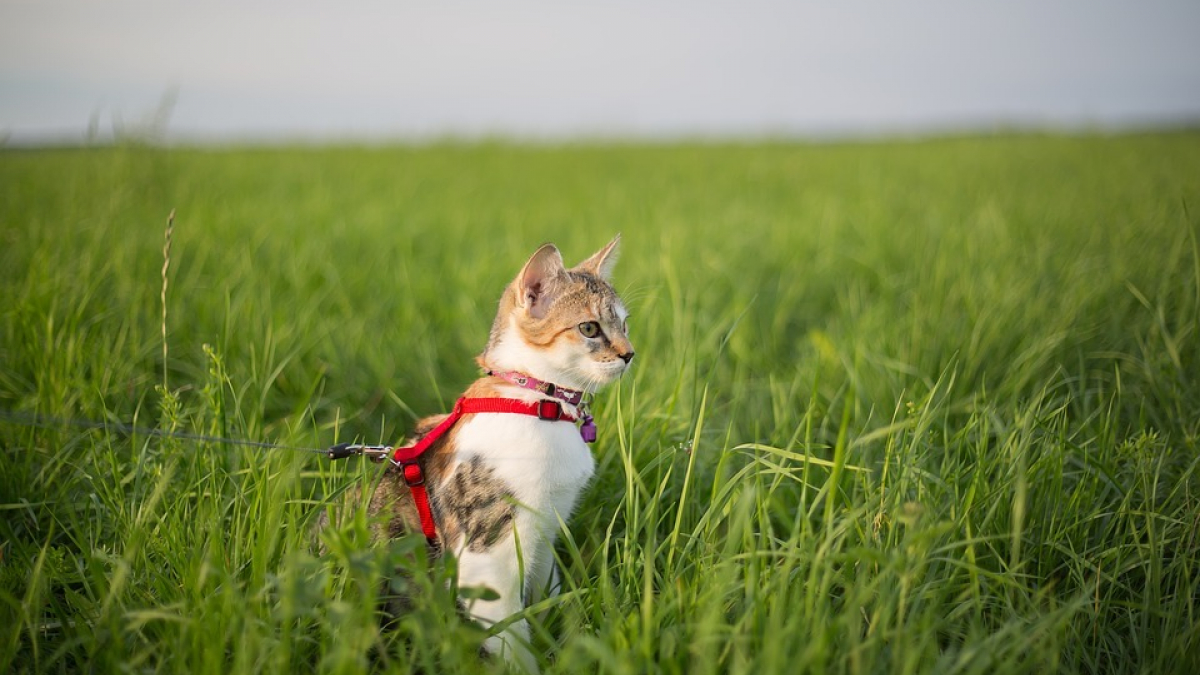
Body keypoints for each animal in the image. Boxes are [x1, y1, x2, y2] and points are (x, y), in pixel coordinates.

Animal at [321, 235, 638, 667]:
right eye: (589, 328)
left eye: (624, 323)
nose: (629, 353)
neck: (537, 402)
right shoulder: (487, 556)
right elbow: (512, 639)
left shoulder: (545, 535)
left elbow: (547, 594)